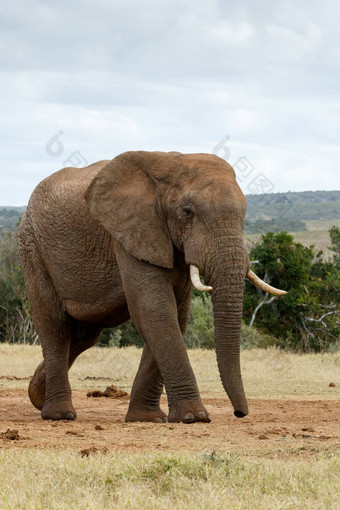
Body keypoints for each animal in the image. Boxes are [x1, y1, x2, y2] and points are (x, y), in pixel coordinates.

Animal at [17, 151, 286, 422]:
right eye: (187, 211)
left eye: (245, 213)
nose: (240, 412)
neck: (169, 164)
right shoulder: (130, 232)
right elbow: (155, 310)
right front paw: (194, 417)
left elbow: (175, 316)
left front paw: (147, 418)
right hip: (32, 248)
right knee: (56, 327)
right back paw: (59, 414)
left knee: (84, 335)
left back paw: (37, 395)